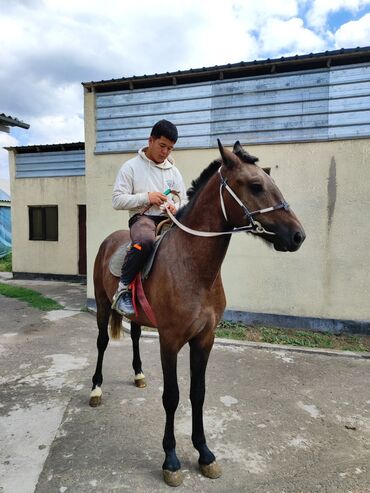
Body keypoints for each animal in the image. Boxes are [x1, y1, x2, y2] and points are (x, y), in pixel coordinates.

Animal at [90, 138, 306, 484]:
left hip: (136, 317)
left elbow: (198, 393)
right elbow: (172, 396)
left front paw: (204, 453)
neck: (192, 267)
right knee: (101, 343)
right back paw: (95, 389)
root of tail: (111, 240)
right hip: (99, 305)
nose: (298, 235)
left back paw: (138, 374)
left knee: (134, 336)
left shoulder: (204, 339)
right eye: (256, 185)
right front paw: (171, 459)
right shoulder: (170, 341)